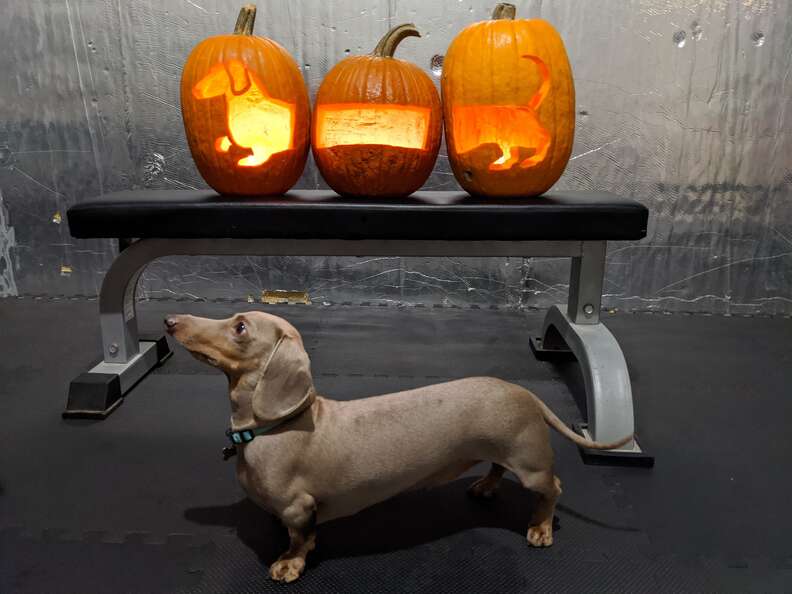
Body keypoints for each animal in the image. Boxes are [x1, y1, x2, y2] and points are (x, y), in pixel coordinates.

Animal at [167, 312, 632, 580]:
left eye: (240, 327)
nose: (171, 320)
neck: (275, 428)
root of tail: (526, 392)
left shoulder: (300, 508)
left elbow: (301, 538)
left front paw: (289, 562)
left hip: (531, 465)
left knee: (552, 489)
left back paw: (540, 527)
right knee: (496, 467)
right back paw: (485, 487)